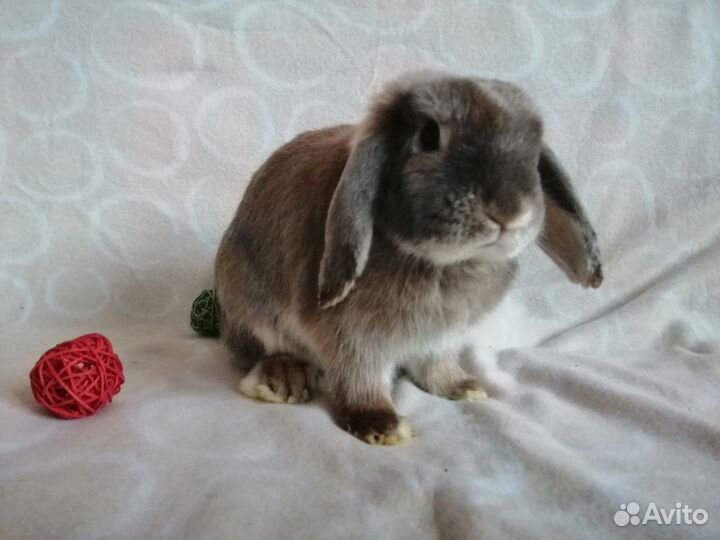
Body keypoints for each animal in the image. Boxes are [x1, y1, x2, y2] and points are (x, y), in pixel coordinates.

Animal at [215, 71, 603, 445]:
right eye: (429, 136)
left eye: (534, 149)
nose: (509, 212)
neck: (444, 263)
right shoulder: (352, 336)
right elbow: (361, 378)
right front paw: (379, 425)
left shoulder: (440, 338)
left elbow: (436, 365)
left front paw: (461, 387)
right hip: (248, 302)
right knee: (258, 349)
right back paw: (284, 378)